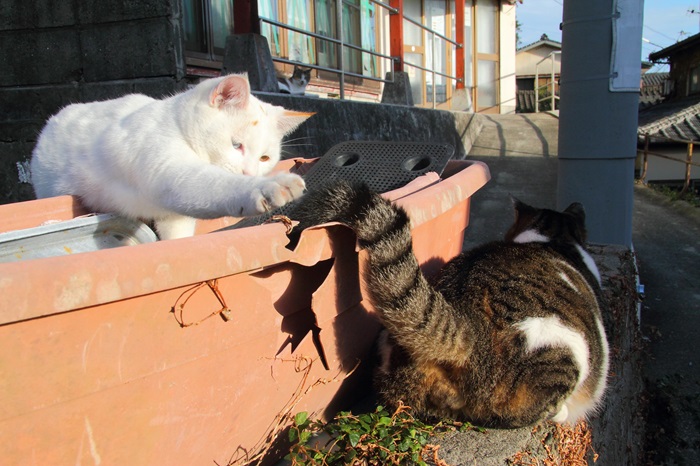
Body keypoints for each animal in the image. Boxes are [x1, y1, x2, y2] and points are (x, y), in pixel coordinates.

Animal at [31, 75, 314, 240]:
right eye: (236, 145)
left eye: (265, 158)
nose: (249, 173)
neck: (176, 125)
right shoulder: (166, 169)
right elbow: (215, 184)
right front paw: (269, 186)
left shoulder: (175, 217)